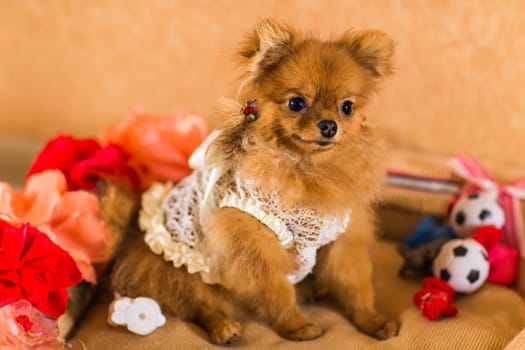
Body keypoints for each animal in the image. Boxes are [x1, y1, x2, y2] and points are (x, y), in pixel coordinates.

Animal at [111, 18, 398, 344]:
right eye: (296, 103)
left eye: (347, 107)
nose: (329, 125)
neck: (307, 170)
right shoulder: (255, 247)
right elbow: (277, 292)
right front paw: (297, 326)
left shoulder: (342, 240)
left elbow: (356, 286)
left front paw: (372, 321)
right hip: (183, 268)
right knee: (196, 302)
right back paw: (223, 327)